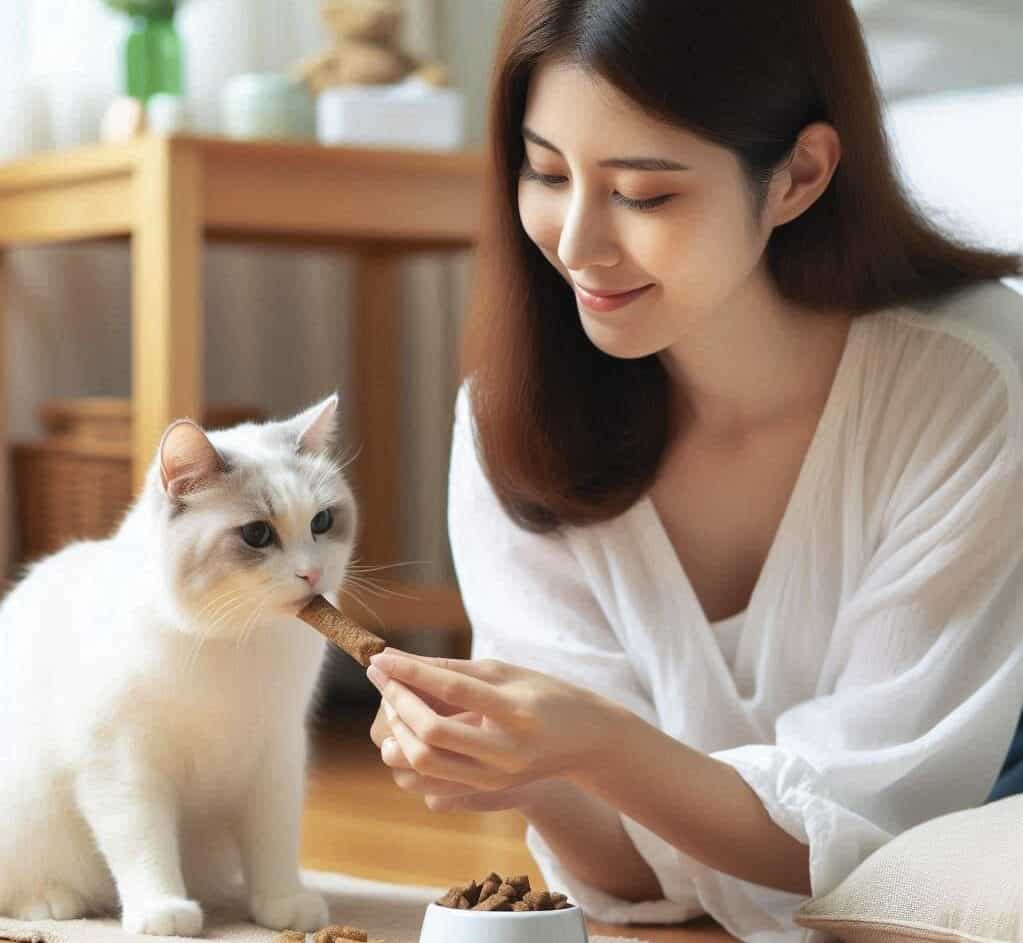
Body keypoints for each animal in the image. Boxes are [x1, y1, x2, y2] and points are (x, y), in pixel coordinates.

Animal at [0, 390, 360, 932]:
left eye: (321, 522)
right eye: (257, 535)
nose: (312, 574)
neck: (235, 641)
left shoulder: (277, 753)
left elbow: (274, 843)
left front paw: (283, 905)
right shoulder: (123, 765)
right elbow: (144, 844)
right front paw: (162, 911)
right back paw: (52, 902)